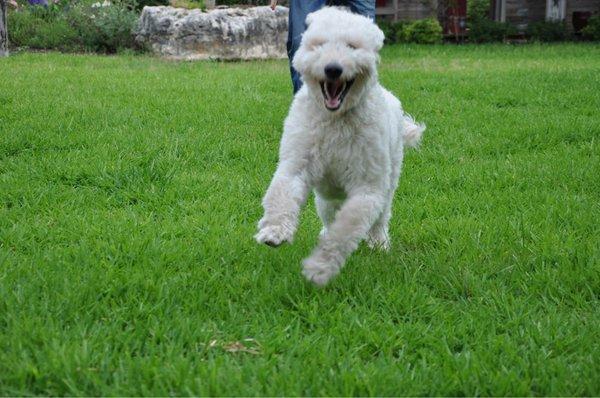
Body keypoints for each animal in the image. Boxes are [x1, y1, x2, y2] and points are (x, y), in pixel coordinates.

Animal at [255, 7, 424, 286]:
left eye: (352, 46)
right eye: (319, 44)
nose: (332, 68)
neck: (335, 121)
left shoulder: (368, 189)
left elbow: (344, 231)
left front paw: (319, 268)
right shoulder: (296, 164)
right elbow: (281, 195)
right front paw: (274, 231)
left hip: (388, 183)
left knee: (380, 218)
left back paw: (379, 243)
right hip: (326, 197)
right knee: (329, 214)